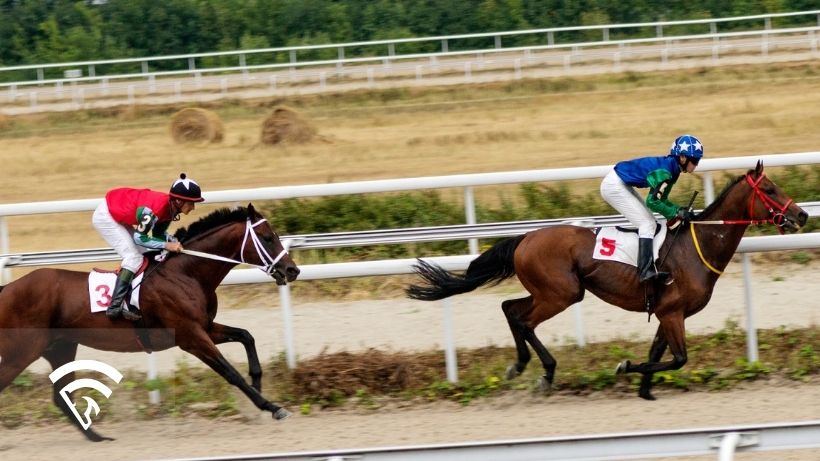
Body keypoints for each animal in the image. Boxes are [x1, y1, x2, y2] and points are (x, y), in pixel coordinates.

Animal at [0, 203, 300, 441]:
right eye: (267, 238)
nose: (292, 270)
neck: (186, 273)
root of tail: (7, 289)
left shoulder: (204, 328)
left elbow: (246, 335)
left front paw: (258, 384)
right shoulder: (191, 337)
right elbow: (231, 372)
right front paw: (271, 407)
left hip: (60, 348)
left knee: (61, 397)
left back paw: (97, 437)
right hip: (22, 351)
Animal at [407, 161, 808, 400]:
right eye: (769, 190)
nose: (802, 215)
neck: (697, 246)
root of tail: (525, 238)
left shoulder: (667, 312)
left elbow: (659, 353)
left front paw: (645, 390)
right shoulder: (674, 312)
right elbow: (677, 358)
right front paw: (626, 368)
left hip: (549, 292)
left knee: (509, 308)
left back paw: (522, 365)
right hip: (562, 294)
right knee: (522, 319)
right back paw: (543, 372)